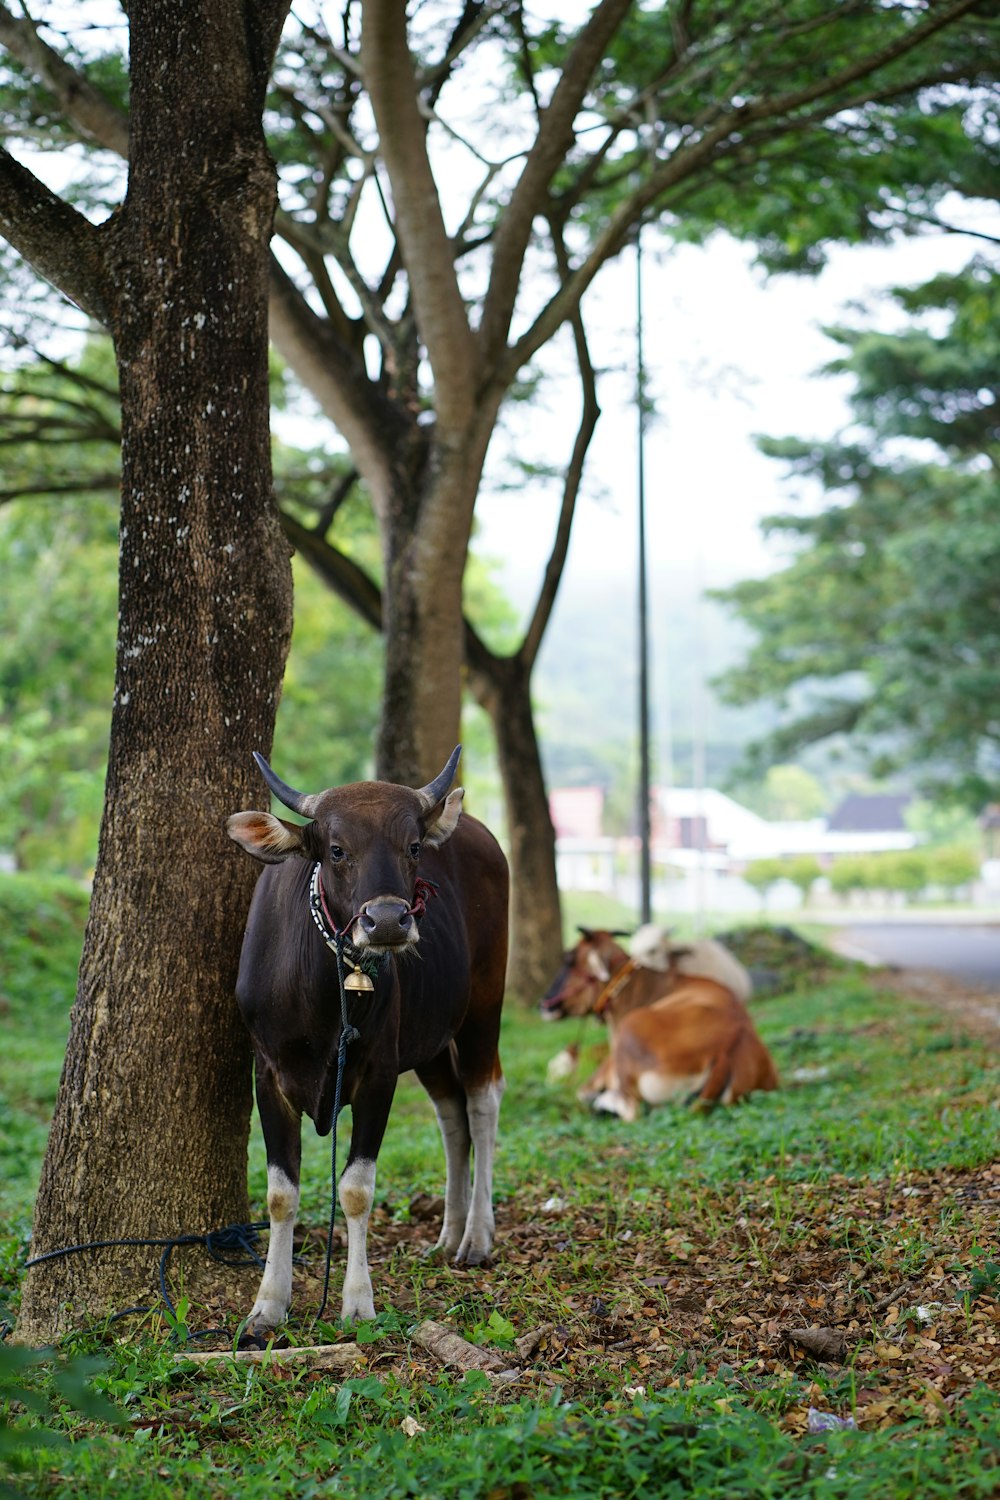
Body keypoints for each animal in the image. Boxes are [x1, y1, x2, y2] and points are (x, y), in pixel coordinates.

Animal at [227, 744, 509, 1332]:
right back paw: (447, 1233)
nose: (387, 922)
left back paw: (475, 1236)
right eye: (337, 849)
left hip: (483, 1008)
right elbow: (280, 1193)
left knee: (481, 1101)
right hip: (428, 1040)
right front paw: (268, 1304)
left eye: (413, 846)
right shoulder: (268, 1074)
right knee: (451, 1114)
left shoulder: (378, 1075)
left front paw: (357, 1300)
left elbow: (356, 1189)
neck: (324, 995)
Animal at [542, 924, 779, 1116]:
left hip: (631, 1029)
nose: (543, 1003)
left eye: (569, 959)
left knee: (632, 1111)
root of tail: (727, 1048)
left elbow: (581, 1091)